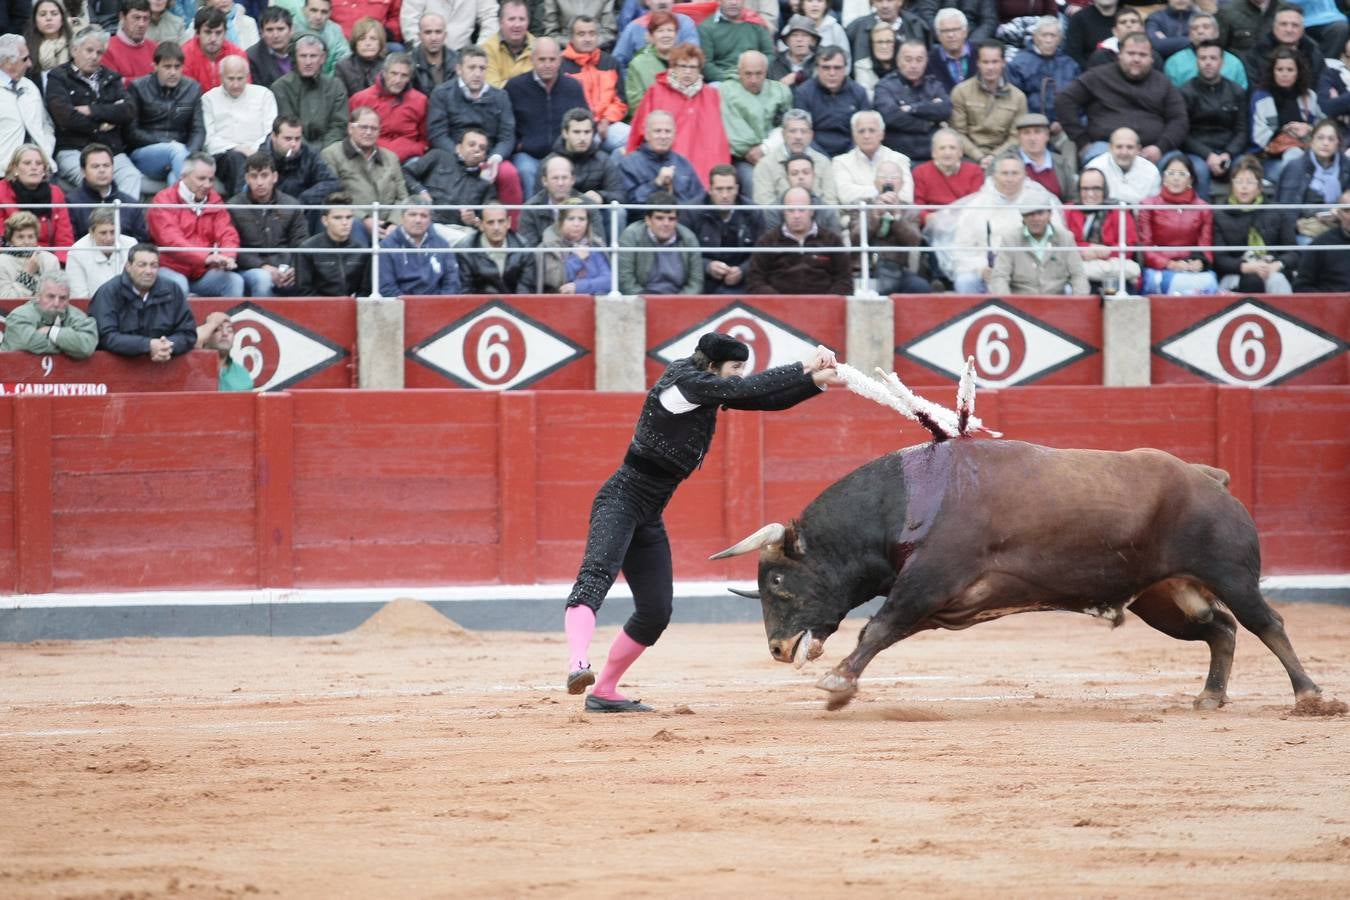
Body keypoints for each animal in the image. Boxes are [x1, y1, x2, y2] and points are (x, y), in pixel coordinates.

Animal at [712, 437, 1323, 712]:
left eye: (777, 582)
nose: (776, 648)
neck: (904, 504)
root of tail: (1207, 477)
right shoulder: (938, 599)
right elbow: (885, 630)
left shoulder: (927, 582)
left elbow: (877, 628)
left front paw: (838, 684)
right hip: (1165, 598)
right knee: (1220, 629)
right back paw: (1209, 698)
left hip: (1231, 574)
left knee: (1266, 623)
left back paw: (1311, 695)